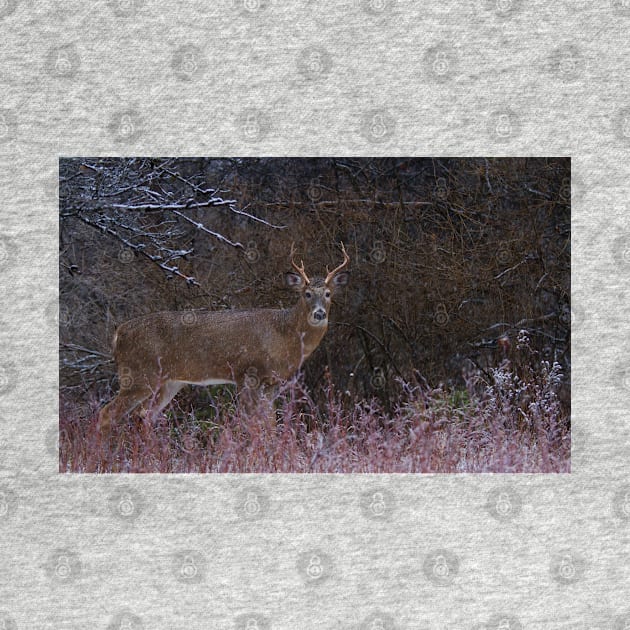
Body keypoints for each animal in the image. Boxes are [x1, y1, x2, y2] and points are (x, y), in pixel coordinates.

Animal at [99, 244, 350, 436]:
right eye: (306, 294)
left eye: (328, 294)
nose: (319, 313)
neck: (284, 334)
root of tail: (118, 333)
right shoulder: (247, 373)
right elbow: (252, 422)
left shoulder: (272, 383)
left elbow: (269, 422)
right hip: (138, 374)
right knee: (107, 414)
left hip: (169, 381)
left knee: (144, 415)